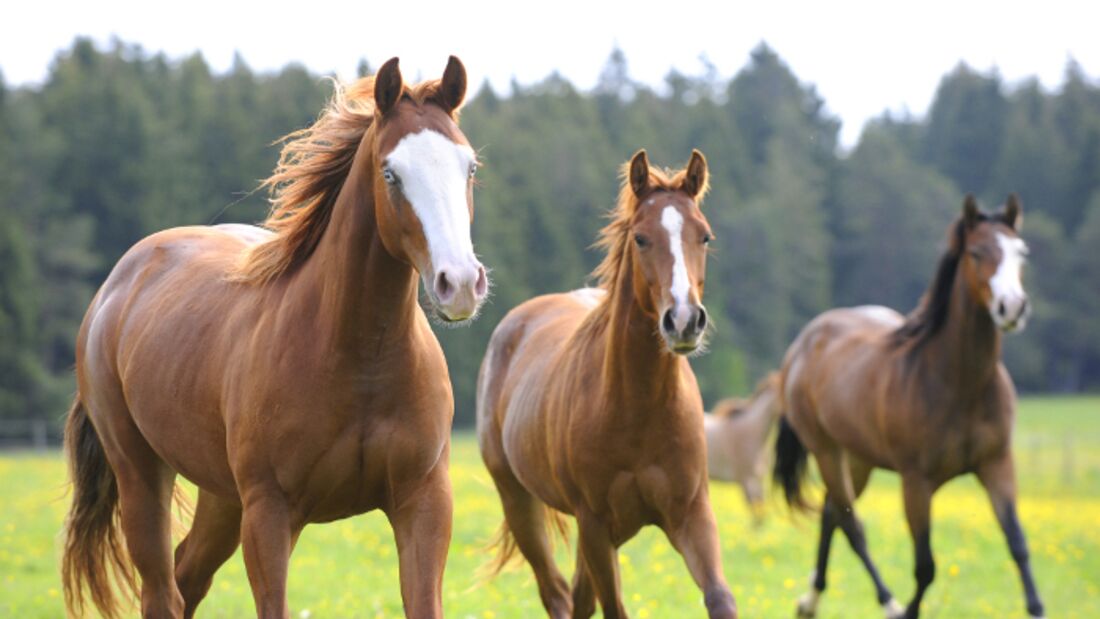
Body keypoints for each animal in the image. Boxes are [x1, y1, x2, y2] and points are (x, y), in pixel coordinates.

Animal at [62, 56, 486, 619]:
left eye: (469, 167)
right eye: (390, 173)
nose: (458, 283)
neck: (360, 361)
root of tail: (117, 284)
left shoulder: (424, 502)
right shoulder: (269, 514)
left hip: (222, 496)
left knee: (186, 577)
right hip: (142, 475)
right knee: (161, 590)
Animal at [475, 150, 739, 619]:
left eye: (705, 236)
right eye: (640, 238)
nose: (684, 320)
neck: (638, 407)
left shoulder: (691, 515)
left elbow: (720, 599)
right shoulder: (596, 524)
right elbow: (612, 607)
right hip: (521, 503)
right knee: (557, 593)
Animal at [774, 194, 1047, 619]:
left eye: (1021, 252)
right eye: (976, 252)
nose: (1012, 307)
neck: (959, 384)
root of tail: (803, 343)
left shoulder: (997, 465)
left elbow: (1018, 546)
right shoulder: (916, 482)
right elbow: (925, 567)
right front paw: (908, 610)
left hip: (859, 458)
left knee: (831, 514)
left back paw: (810, 600)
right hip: (827, 452)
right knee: (851, 526)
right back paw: (884, 602)